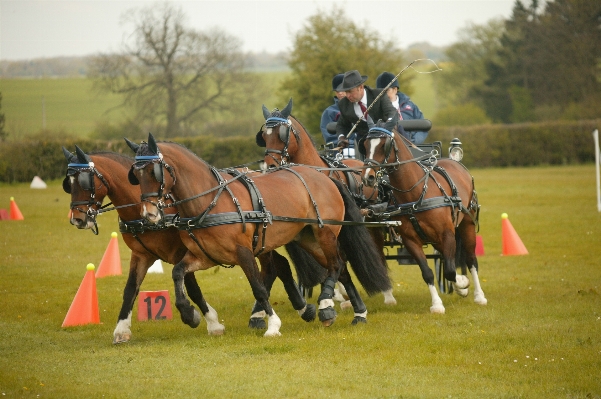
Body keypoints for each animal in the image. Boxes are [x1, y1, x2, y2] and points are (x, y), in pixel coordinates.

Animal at [60, 147, 314, 344]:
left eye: (84, 182)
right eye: (68, 183)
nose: (77, 219)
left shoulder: (181, 251)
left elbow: (191, 287)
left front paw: (206, 320)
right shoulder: (141, 255)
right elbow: (131, 289)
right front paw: (121, 330)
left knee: (273, 267)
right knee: (279, 265)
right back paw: (295, 308)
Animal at [126, 135, 390, 338]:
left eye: (154, 171)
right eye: (136, 176)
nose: (149, 213)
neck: (210, 201)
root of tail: (325, 176)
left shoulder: (243, 253)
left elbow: (259, 288)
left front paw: (273, 325)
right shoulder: (204, 256)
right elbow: (178, 273)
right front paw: (189, 314)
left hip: (324, 232)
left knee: (335, 265)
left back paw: (326, 305)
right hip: (308, 239)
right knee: (341, 267)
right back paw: (359, 313)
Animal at [254, 100, 398, 306]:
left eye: (283, 134)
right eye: (264, 136)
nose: (269, 166)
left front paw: (337, 296)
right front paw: (335, 295)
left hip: (372, 223)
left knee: (376, 251)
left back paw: (387, 293)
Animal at [358, 124, 486, 312]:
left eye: (384, 145)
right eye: (365, 145)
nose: (368, 177)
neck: (415, 192)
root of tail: (454, 161)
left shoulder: (447, 233)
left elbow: (450, 270)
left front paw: (462, 284)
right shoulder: (411, 240)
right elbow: (427, 272)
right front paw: (437, 304)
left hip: (467, 223)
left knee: (470, 259)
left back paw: (479, 295)